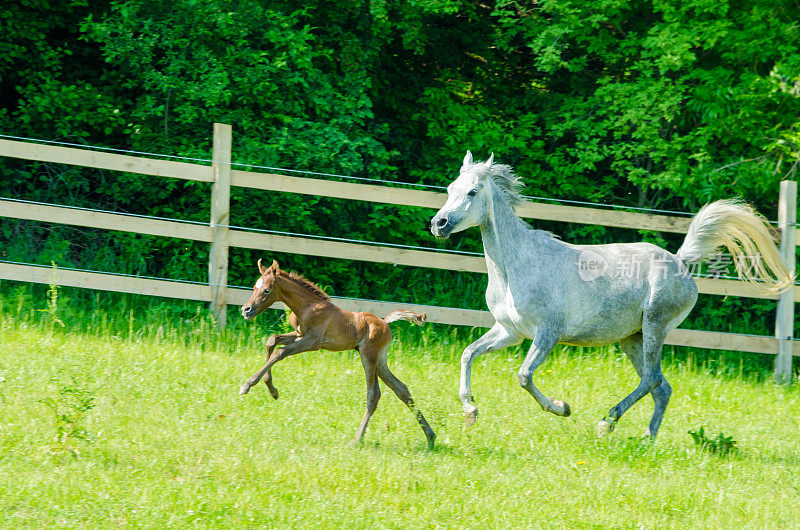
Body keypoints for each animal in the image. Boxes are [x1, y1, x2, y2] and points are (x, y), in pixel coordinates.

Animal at [238, 258, 438, 448]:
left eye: (266, 290)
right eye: (254, 288)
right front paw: (273, 391)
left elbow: (280, 352)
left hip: (368, 355)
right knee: (401, 389)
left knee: (374, 394)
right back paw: (430, 438)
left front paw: (247, 385)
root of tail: (385, 323)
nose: (246, 310)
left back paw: (357, 439)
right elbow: (272, 341)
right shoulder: (298, 334)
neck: (306, 306)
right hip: (380, 360)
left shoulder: (313, 341)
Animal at [428, 152, 792, 438]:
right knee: (661, 387)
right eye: (449, 189)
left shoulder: (547, 333)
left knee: (653, 380)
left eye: (473, 191)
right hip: (632, 338)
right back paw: (647, 438)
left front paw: (562, 407)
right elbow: (468, 354)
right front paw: (470, 412)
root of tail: (680, 260)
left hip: (655, 327)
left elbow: (524, 375)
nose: (439, 223)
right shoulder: (510, 331)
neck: (517, 265)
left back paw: (607, 422)